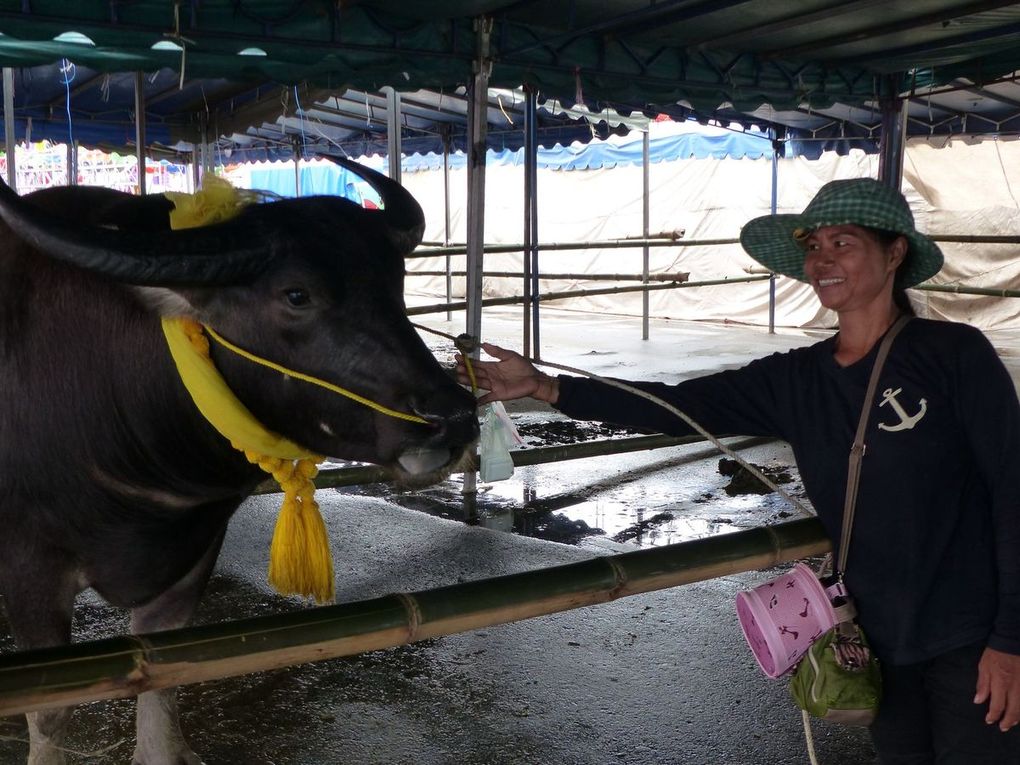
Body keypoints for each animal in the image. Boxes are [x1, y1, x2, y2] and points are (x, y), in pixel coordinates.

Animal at [0, 159, 477, 762]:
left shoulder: (193, 557)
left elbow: (163, 689)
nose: (454, 418)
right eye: (296, 295)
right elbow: (50, 713)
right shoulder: (29, 571)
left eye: (395, 285)